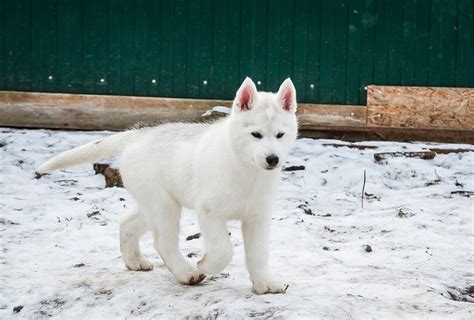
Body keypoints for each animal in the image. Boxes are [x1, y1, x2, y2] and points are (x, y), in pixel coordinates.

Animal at [38, 78, 296, 296]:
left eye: (280, 135)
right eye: (256, 134)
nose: (273, 159)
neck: (246, 170)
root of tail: (137, 135)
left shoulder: (258, 217)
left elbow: (258, 253)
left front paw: (264, 284)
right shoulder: (209, 212)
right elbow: (223, 250)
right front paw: (205, 264)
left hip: (151, 204)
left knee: (127, 223)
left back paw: (135, 262)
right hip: (164, 205)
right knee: (163, 241)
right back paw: (186, 273)